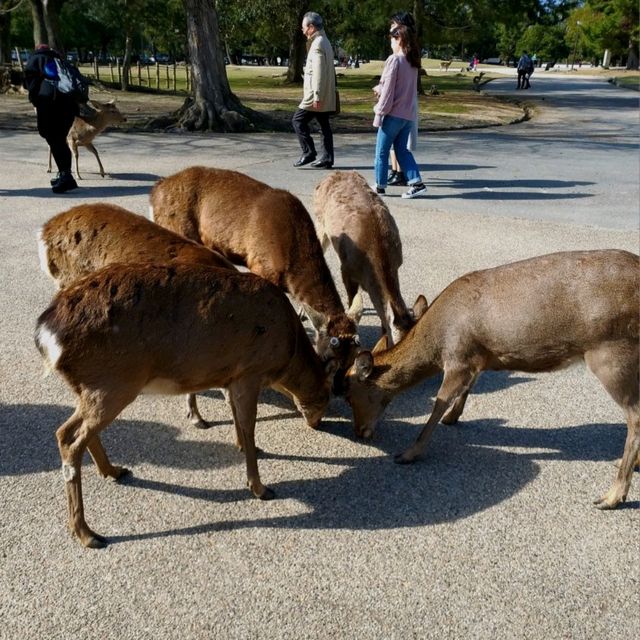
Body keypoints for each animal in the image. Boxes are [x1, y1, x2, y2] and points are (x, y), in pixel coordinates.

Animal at [33, 262, 340, 548]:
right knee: (69, 438)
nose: (318, 423)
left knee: (73, 432)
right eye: (327, 394)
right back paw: (87, 534)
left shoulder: (231, 376)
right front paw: (259, 487)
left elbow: (236, 416)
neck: (286, 355)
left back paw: (113, 472)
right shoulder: (249, 372)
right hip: (113, 382)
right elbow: (249, 424)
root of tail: (46, 335)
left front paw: (243, 447)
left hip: (92, 387)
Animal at [148, 165, 362, 370]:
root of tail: (155, 192)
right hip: (177, 228)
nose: (338, 384)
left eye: (352, 358)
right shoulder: (261, 265)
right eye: (326, 356)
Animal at [344, 250, 640, 510]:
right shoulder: (478, 357)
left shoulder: (458, 357)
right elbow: (466, 390)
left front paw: (409, 453)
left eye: (348, 394)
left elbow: (438, 404)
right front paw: (453, 418)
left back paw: (612, 496)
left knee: (634, 416)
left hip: (612, 354)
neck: (437, 344)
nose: (359, 432)